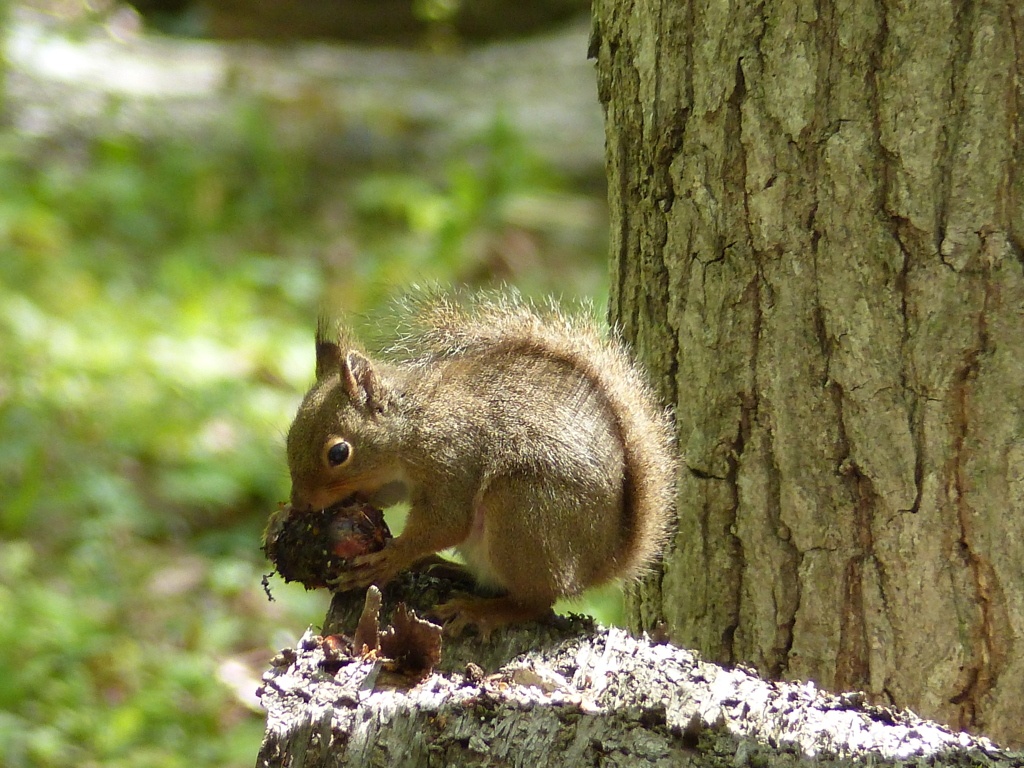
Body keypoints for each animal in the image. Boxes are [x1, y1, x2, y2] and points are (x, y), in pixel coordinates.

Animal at [284, 294, 675, 638]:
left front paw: (391, 558)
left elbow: (447, 521)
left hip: (523, 514)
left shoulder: (453, 458)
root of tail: (600, 564)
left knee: (537, 602)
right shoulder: (396, 478)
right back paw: (447, 568)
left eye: (338, 453)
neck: (414, 423)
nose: (301, 503)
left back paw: (480, 611)